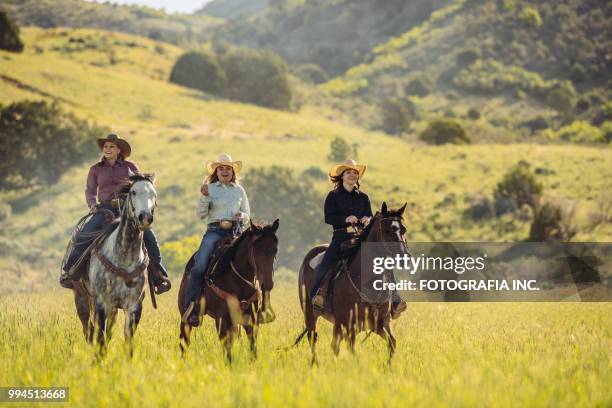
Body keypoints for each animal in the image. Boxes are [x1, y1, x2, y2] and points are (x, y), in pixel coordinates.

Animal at [177, 218, 280, 362]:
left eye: (275, 250)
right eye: (257, 250)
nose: (267, 284)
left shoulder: (251, 319)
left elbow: (252, 347)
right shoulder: (223, 319)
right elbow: (228, 349)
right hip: (185, 317)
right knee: (184, 342)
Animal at [296, 202, 406, 364]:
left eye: (403, 229)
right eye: (386, 230)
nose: (404, 257)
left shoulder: (381, 322)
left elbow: (392, 343)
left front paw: (388, 367)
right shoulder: (350, 324)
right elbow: (352, 350)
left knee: (334, 344)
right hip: (311, 314)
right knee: (313, 338)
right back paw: (315, 364)